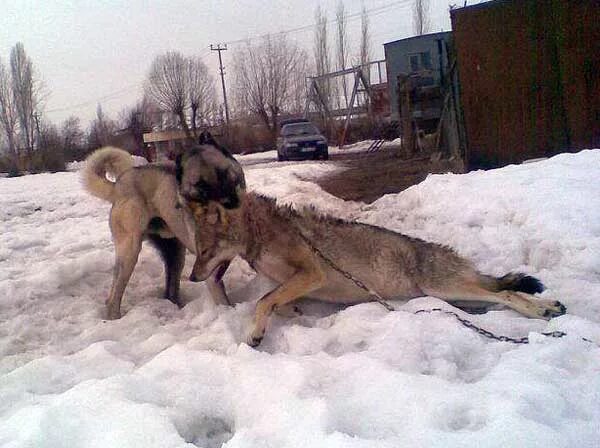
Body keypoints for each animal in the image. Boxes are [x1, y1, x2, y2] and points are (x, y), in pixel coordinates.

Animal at [83, 136, 245, 318]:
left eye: (223, 174)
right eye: (202, 188)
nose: (228, 204)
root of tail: (118, 185)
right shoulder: (211, 271)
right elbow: (223, 299)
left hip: (175, 253)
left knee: (170, 291)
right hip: (130, 252)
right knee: (112, 299)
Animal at [188, 192, 568, 346]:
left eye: (204, 251)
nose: (191, 277)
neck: (259, 230)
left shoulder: (313, 274)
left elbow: (263, 300)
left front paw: (255, 333)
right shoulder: (292, 281)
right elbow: (274, 300)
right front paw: (282, 317)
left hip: (445, 289)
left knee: (507, 293)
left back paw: (542, 311)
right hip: (455, 298)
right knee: (502, 291)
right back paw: (551, 306)